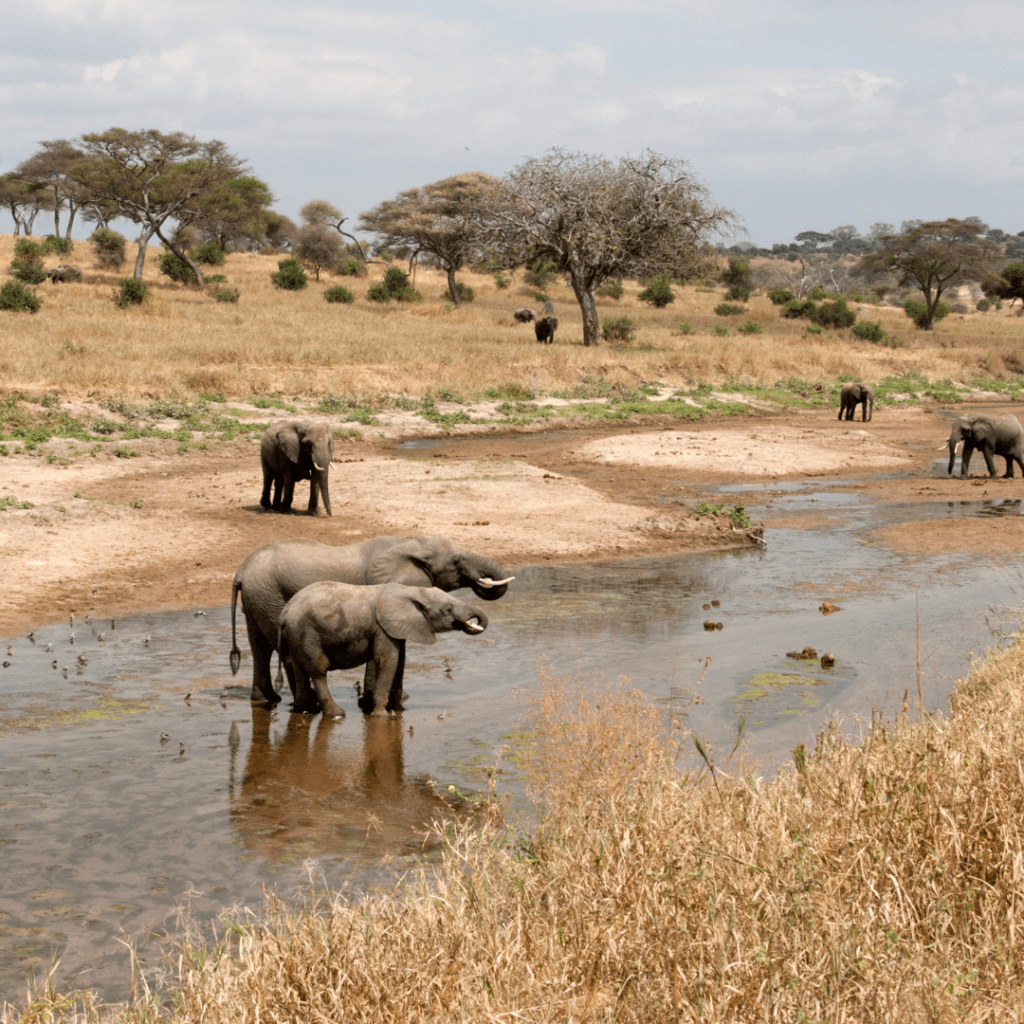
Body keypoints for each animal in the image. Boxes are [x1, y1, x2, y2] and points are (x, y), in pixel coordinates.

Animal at [278, 581, 489, 716]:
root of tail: (284, 613)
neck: (413, 591)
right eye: (447, 610)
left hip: (296, 636)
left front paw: (400, 711)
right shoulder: (382, 627)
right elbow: (388, 660)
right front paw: (381, 716)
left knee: (299, 669)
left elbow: (400, 661)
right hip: (307, 631)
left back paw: (304, 710)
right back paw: (337, 714)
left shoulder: (395, 627)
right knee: (319, 669)